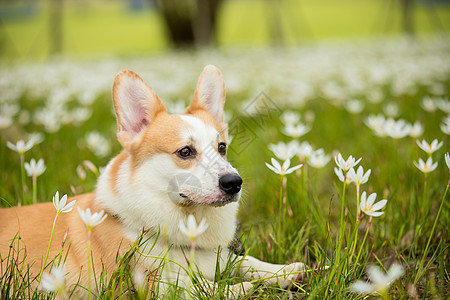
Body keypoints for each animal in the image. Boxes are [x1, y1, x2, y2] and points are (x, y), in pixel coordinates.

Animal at [0, 64, 304, 296]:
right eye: (185, 151)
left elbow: (247, 262)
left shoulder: (220, 257)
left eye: (222, 147)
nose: (234, 182)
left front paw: (285, 270)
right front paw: (242, 288)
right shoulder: (155, 285)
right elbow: (203, 288)